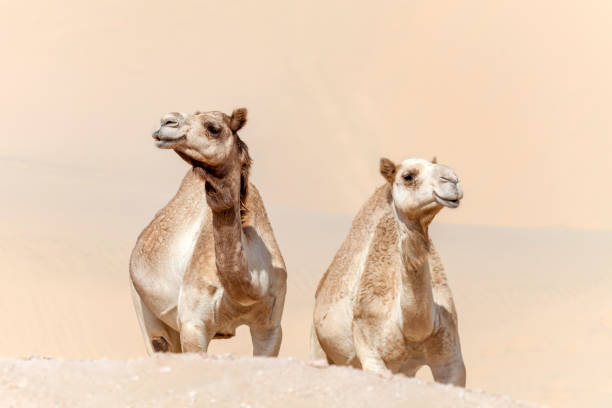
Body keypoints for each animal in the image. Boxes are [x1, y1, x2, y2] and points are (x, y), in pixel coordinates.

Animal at [129, 108, 286, 356]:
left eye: (213, 128)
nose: (166, 121)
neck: (249, 287)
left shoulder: (271, 327)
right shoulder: (194, 324)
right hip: (142, 302)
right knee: (158, 342)